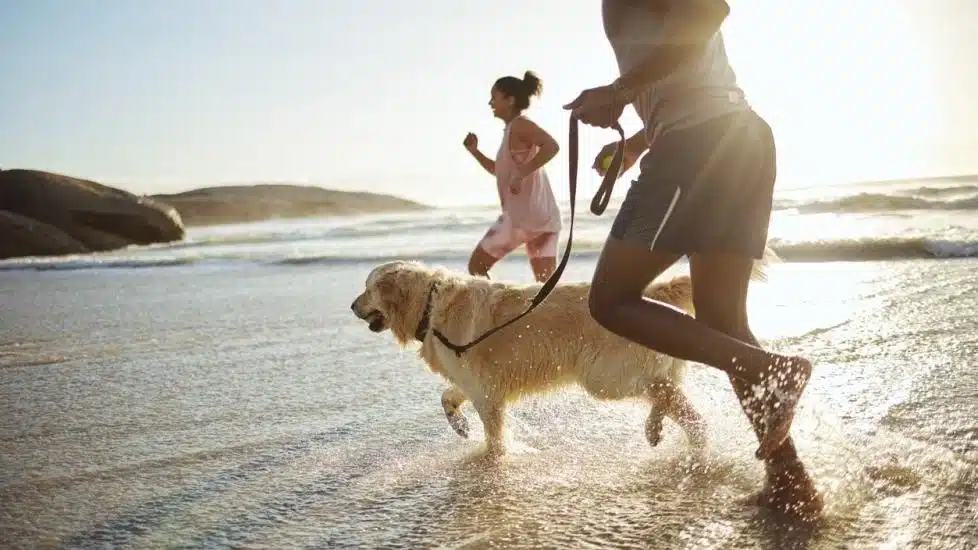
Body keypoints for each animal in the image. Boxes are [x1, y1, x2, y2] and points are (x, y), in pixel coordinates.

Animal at [350, 256, 772, 460]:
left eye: (367, 289)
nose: (352, 306)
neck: (431, 306)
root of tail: (652, 293)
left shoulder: (486, 393)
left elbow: (494, 439)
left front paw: (496, 458)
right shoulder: (474, 381)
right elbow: (447, 397)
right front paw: (460, 426)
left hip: (603, 377)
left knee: (674, 401)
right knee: (673, 398)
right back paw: (663, 432)